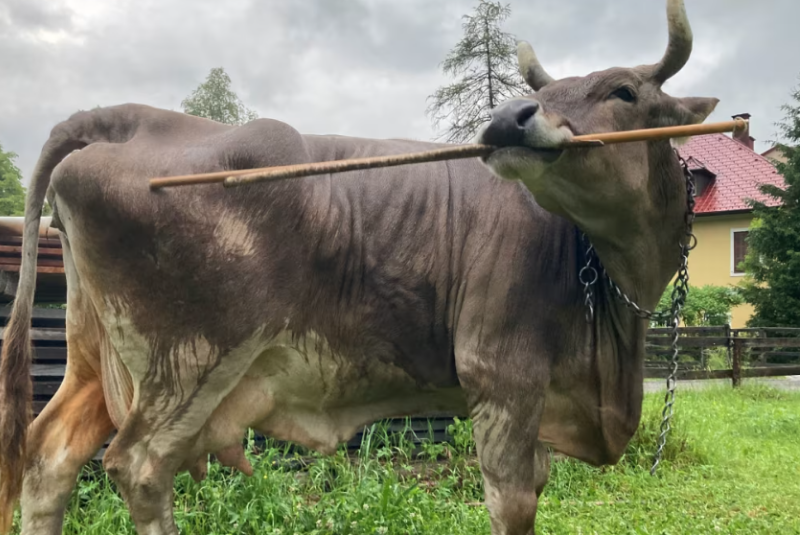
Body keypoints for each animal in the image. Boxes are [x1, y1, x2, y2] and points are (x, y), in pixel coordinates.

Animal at [0, 1, 719, 533]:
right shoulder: (501, 375)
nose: (508, 119)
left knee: (50, 459)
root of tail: (128, 118)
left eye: (623, 90)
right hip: (191, 358)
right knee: (140, 466)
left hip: (98, 359)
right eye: (544, 91)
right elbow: (512, 502)